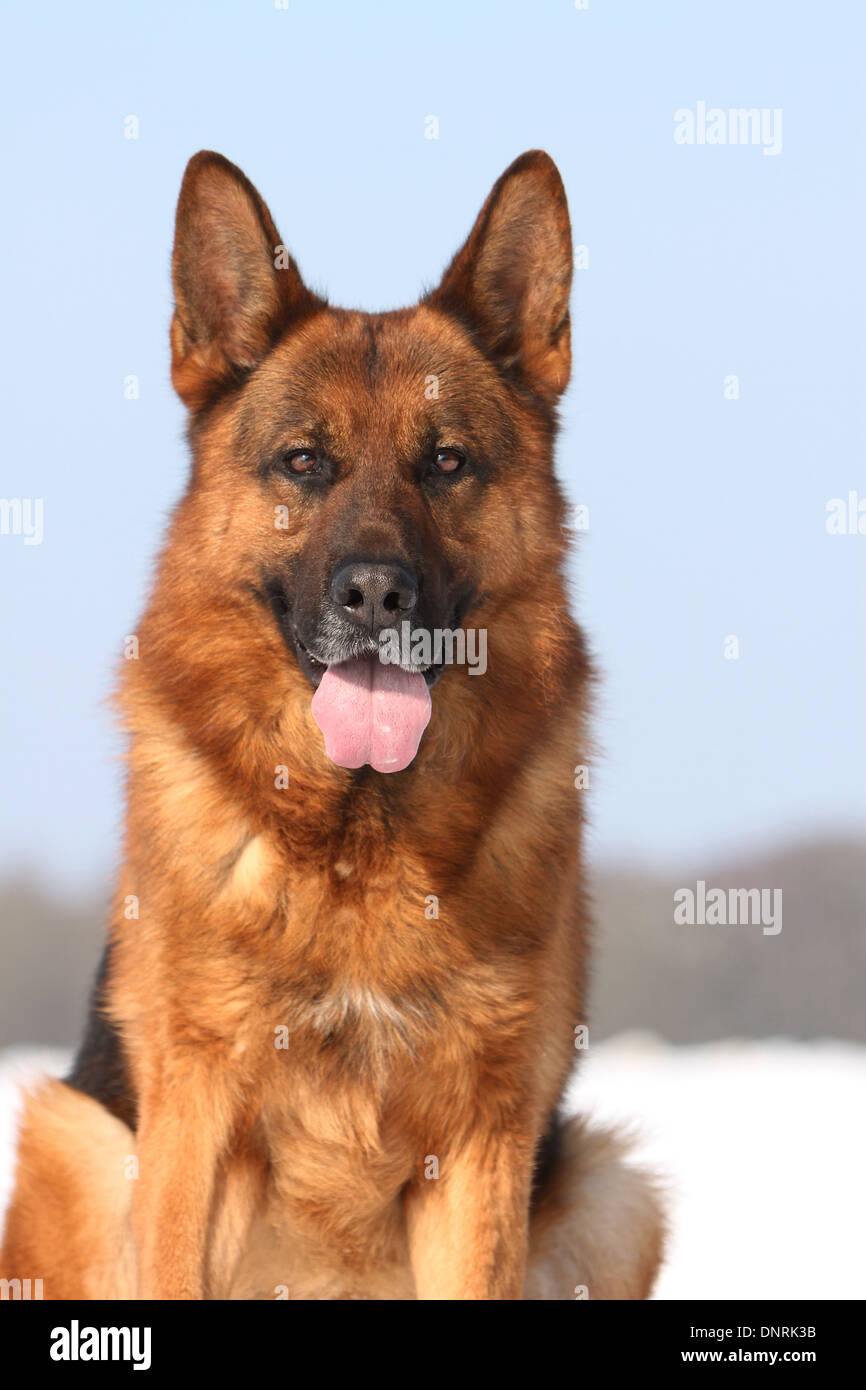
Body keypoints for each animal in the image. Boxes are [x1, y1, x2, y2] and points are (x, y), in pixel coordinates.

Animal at [0, 146, 664, 1295]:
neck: (358, 842)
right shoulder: (193, 1130)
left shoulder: (481, 1150)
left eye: (446, 461)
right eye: (303, 462)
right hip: (74, 1141)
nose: (375, 595)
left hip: (615, 1192)